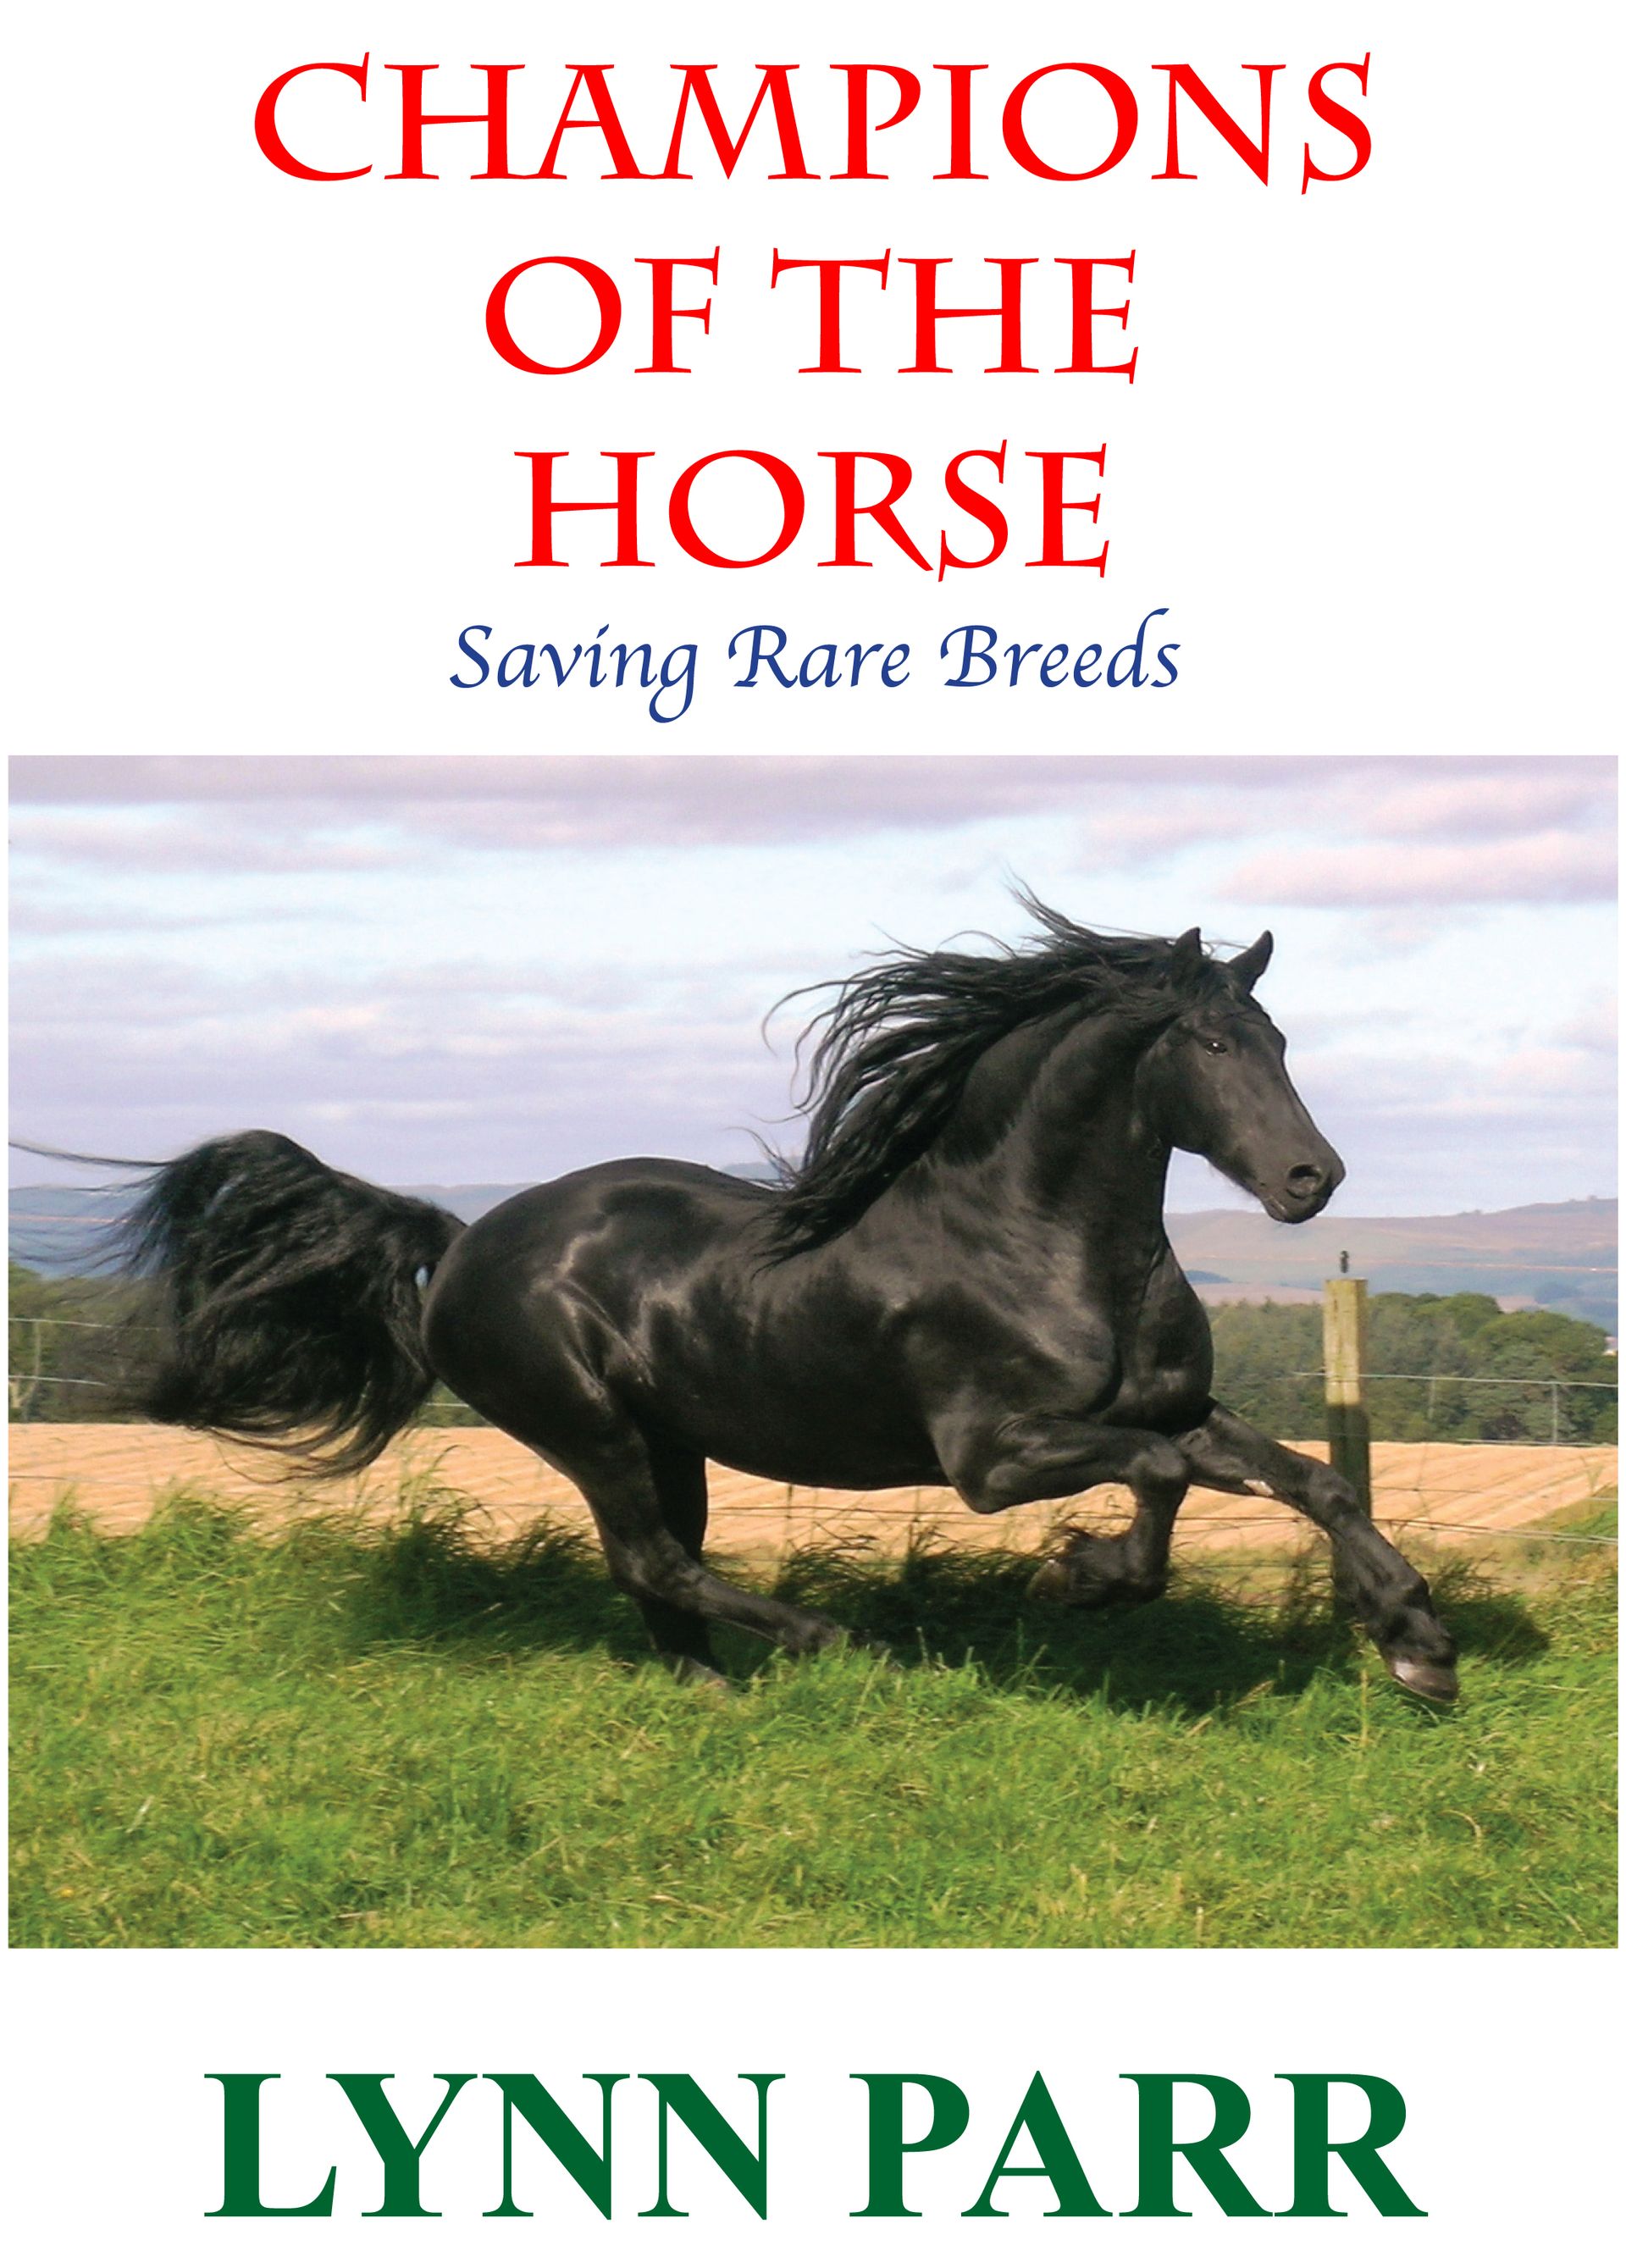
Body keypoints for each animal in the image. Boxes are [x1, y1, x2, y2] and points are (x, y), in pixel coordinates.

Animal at [103, 901, 1459, 1701]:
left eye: (1279, 1039)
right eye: (1215, 1046)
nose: (1314, 1179)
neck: (1040, 1241)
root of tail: (465, 1239)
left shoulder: (1177, 1406)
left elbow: (1312, 1480)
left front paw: (1417, 1644)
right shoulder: (993, 1455)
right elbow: (1162, 1482)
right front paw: (1083, 1576)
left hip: (668, 1437)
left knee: (660, 1571)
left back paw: (715, 1691)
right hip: (587, 1424)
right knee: (653, 1557)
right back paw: (827, 1646)